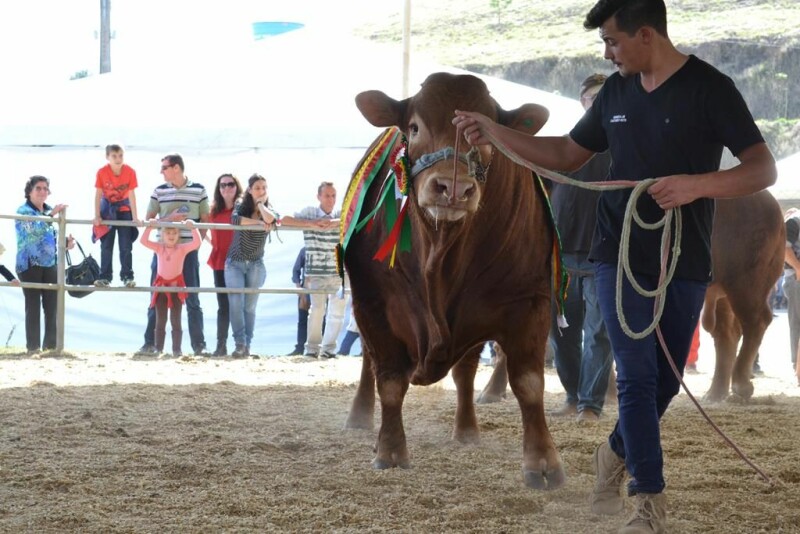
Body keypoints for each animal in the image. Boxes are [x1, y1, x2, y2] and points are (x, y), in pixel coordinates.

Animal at [340, 73, 564, 492]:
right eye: (413, 128)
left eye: (485, 134)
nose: (454, 187)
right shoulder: (372, 300)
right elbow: (389, 379)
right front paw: (389, 451)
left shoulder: (529, 299)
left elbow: (528, 382)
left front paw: (543, 462)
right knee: (368, 363)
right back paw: (359, 417)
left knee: (465, 372)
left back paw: (467, 430)